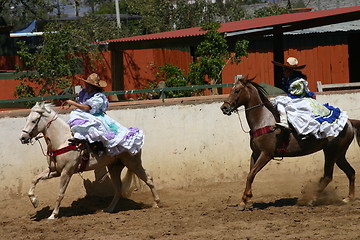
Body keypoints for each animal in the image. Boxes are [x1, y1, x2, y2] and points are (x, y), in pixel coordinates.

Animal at [20, 101, 159, 219]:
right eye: (27, 119)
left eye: (34, 121)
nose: (23, 138)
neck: (62, 141)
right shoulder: (55, 171)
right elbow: (35, 179)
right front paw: (34, 201)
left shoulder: (66, 172)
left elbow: (60, 194)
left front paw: (53, 215)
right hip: (114, 167)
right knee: (118, 188)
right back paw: (109, 209)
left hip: (133, 163)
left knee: (148, 179)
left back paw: (156, 203)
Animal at [221, 75, 358, 210]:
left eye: (237, 90)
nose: (224, 108)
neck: (263, 121)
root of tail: (349, 122)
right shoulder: (255, 153)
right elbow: (250, 174)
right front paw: (245, 200)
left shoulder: (266, 154)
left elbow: (251, 174)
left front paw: (245, 200)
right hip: (339, 155)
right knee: (350, 172)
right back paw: (348, 198)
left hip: (331, 153)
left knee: (328, 176)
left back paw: (310, 200)